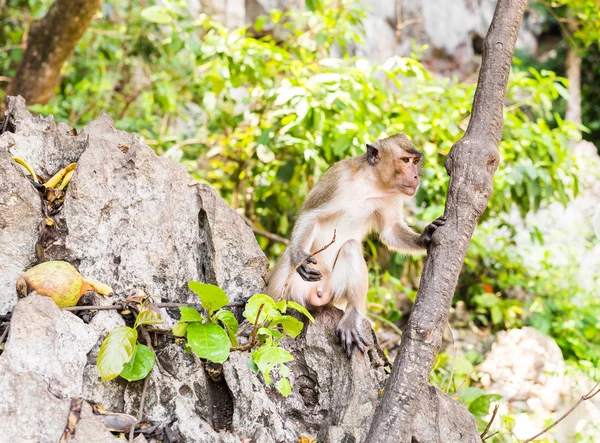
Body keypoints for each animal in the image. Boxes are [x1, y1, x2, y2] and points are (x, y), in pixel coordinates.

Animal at [268, 133, 446, 358]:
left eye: (415, 162)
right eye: (405, 160)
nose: (415, 177)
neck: (371, 183)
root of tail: (318, 294)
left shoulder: (392, 196)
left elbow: (389, 231)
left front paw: (425, 236)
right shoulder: (337, 177)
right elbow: (311, 215)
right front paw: (301, 256)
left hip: (335, 291)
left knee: (351, 246)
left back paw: (353, 315)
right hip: (298, 292)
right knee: (289, 258)